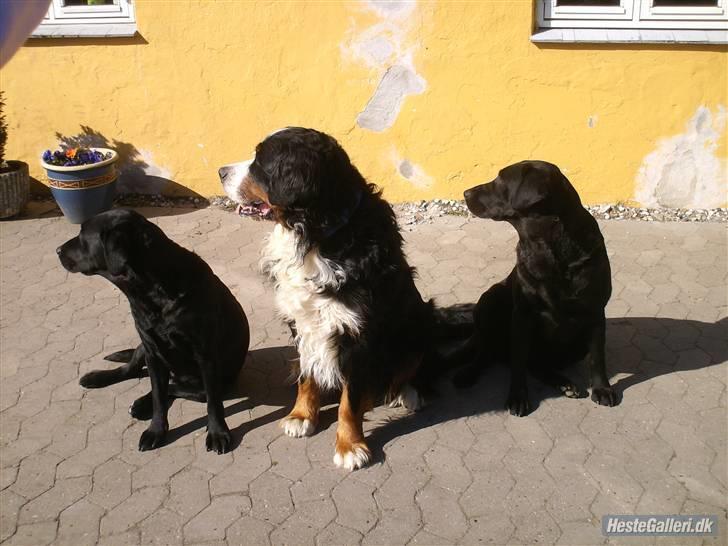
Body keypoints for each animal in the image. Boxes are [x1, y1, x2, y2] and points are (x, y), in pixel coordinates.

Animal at [56, 207, 250, 450]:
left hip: (205, 383)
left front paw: (217, 433)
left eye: (83, 235)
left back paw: (140, 403)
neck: (154, 292)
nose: (57, 250)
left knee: (178, 388)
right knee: (132, 371)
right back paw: (99, 379)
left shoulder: (206, 356)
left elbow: (213, 403)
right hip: (142, 348)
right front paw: (156, 430)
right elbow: (158, 396)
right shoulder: (152, 350)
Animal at [458, 159, 616, 414]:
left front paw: (602, 389)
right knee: (487, 351)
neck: (547, 246)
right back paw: (468, 373)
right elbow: (518, 363)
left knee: (536, 364)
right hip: (489, 300)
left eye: (500, 179)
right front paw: (517, 397)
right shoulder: (522, 315)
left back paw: (565, 384)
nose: (465, 193)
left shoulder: (595, 311)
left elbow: (597, 356)